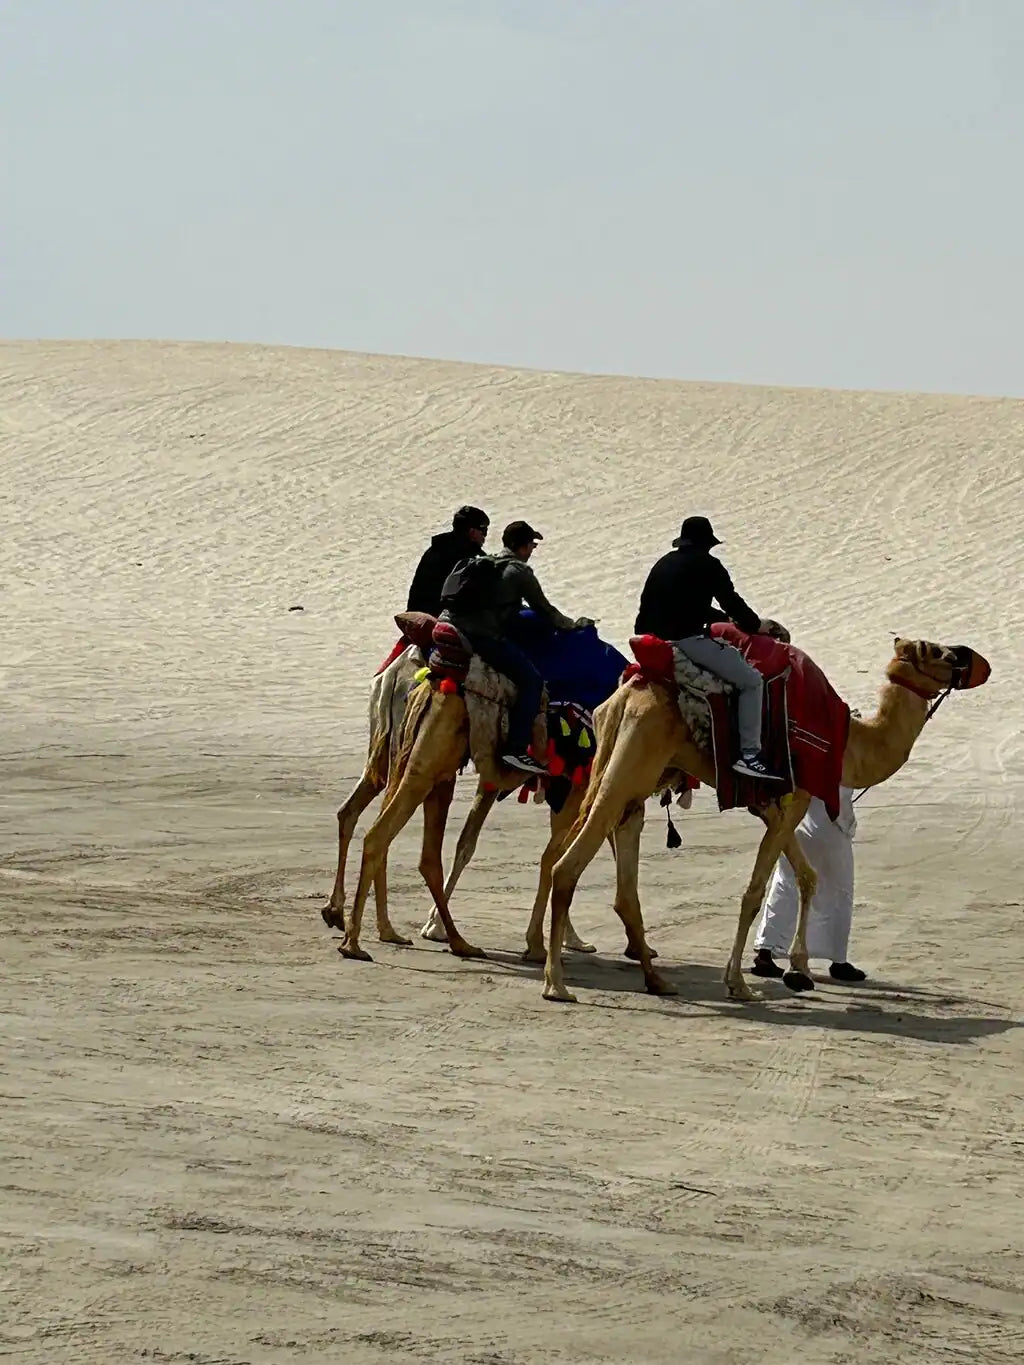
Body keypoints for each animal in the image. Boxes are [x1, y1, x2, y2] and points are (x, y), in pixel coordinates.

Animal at [542, 637, 991, 1004]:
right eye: (940, 653)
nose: (981, 662)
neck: (849, 742)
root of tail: (624, 695)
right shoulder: (794, 800)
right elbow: (755, 892)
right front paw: (739, 983)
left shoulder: (780, 808)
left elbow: (807, 877)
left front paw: (800, 968)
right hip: (631, 764)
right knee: (567, 866)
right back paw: (556, 983)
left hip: (625, 774)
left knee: (617, 882)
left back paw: (655, 980)